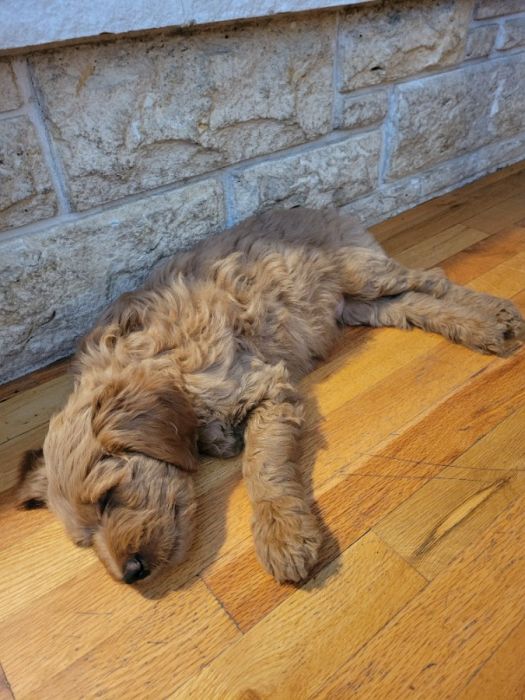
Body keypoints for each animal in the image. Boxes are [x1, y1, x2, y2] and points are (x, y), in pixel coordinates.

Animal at [17, 208, 524, 584]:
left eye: (108, 498)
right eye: (85, 542)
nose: (129, 575)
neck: (162, 363)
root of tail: (322, 207)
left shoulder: (264, 387)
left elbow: (262, 467)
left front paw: (283, 536)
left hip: (363, 273)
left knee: (431, 278)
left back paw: (495, 314)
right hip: (359, 305)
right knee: (412, 304)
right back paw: (481, 326)